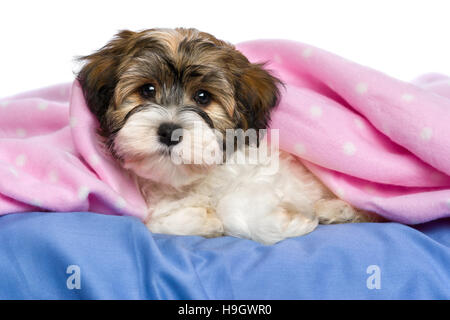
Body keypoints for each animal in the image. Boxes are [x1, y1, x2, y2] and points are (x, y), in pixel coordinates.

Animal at [78, 28, 376, 244]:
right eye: (147, 90)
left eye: (203, 97)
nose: (170, 131)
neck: (190, 181)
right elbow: (154, 222)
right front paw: (202, 220)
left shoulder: (272, 170)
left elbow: (235, 203)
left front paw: (288, 221)